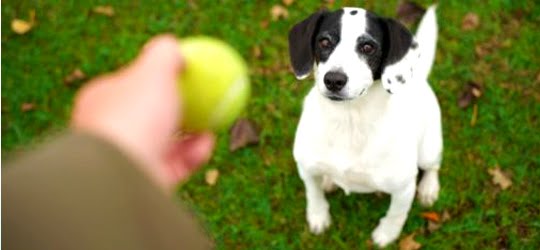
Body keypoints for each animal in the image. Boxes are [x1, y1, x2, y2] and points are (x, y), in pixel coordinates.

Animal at [288, 5, 440, 246]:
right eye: (324, 42)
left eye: (368, 47)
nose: (333, 80)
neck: (349, 121)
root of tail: (419, 77)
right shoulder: (306, 169)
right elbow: (314, 195)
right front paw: (318, 216)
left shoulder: (404, 189)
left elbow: (396, 214)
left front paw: (386, 235)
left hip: (429, 150)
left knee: (433, 167)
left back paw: (429, 189)